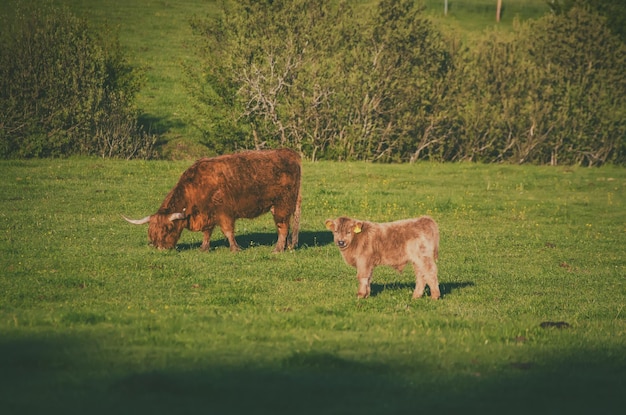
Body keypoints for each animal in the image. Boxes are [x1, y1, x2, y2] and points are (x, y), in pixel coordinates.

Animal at [123, 150, 300, 254]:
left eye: (167, 229)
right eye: (151, 232)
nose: (159, 248)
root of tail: (289, 152)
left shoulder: (225, 212)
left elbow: (228, 231)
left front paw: (235, 248)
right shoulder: (207, 214)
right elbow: (207, 232)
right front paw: (204, 248)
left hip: (283, 205)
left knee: (283, 227)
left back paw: (278, 249)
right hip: (278, 207)